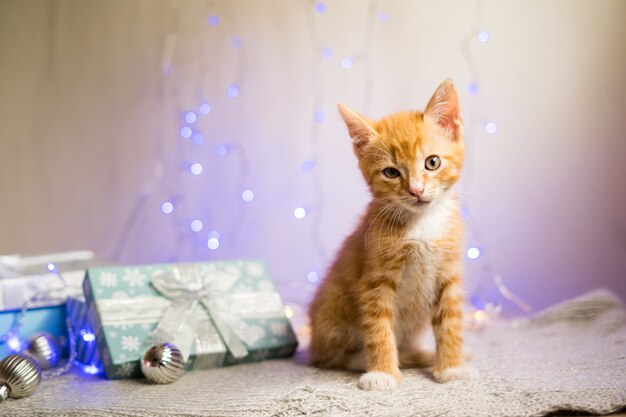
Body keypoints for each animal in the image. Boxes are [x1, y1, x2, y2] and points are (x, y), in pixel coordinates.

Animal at [308, 80, 472, 390]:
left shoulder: (448, 273)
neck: (421, 223)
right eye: (391, 172)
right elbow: (379, 327)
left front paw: (452, 366)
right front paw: (383, 372)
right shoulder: (375, 279)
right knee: (332, 357)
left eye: (432, 162)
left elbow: (451, 321)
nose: (416, 191)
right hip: (332, 312)